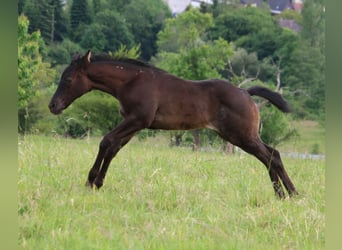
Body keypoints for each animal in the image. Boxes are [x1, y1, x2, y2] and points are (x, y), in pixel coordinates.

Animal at [49, 50, 298, 198]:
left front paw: (91, 180)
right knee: (270, 156)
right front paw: (98, 182)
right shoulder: (133, 125)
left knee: (272, 156)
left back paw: (291, 193)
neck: (131, 81)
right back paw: (283, 194)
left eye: (68, 79)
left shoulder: (138, 120)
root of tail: (246, 92)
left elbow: (106, 141)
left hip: (241, 136)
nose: (53, 106)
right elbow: (113, 147)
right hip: (241, 136)